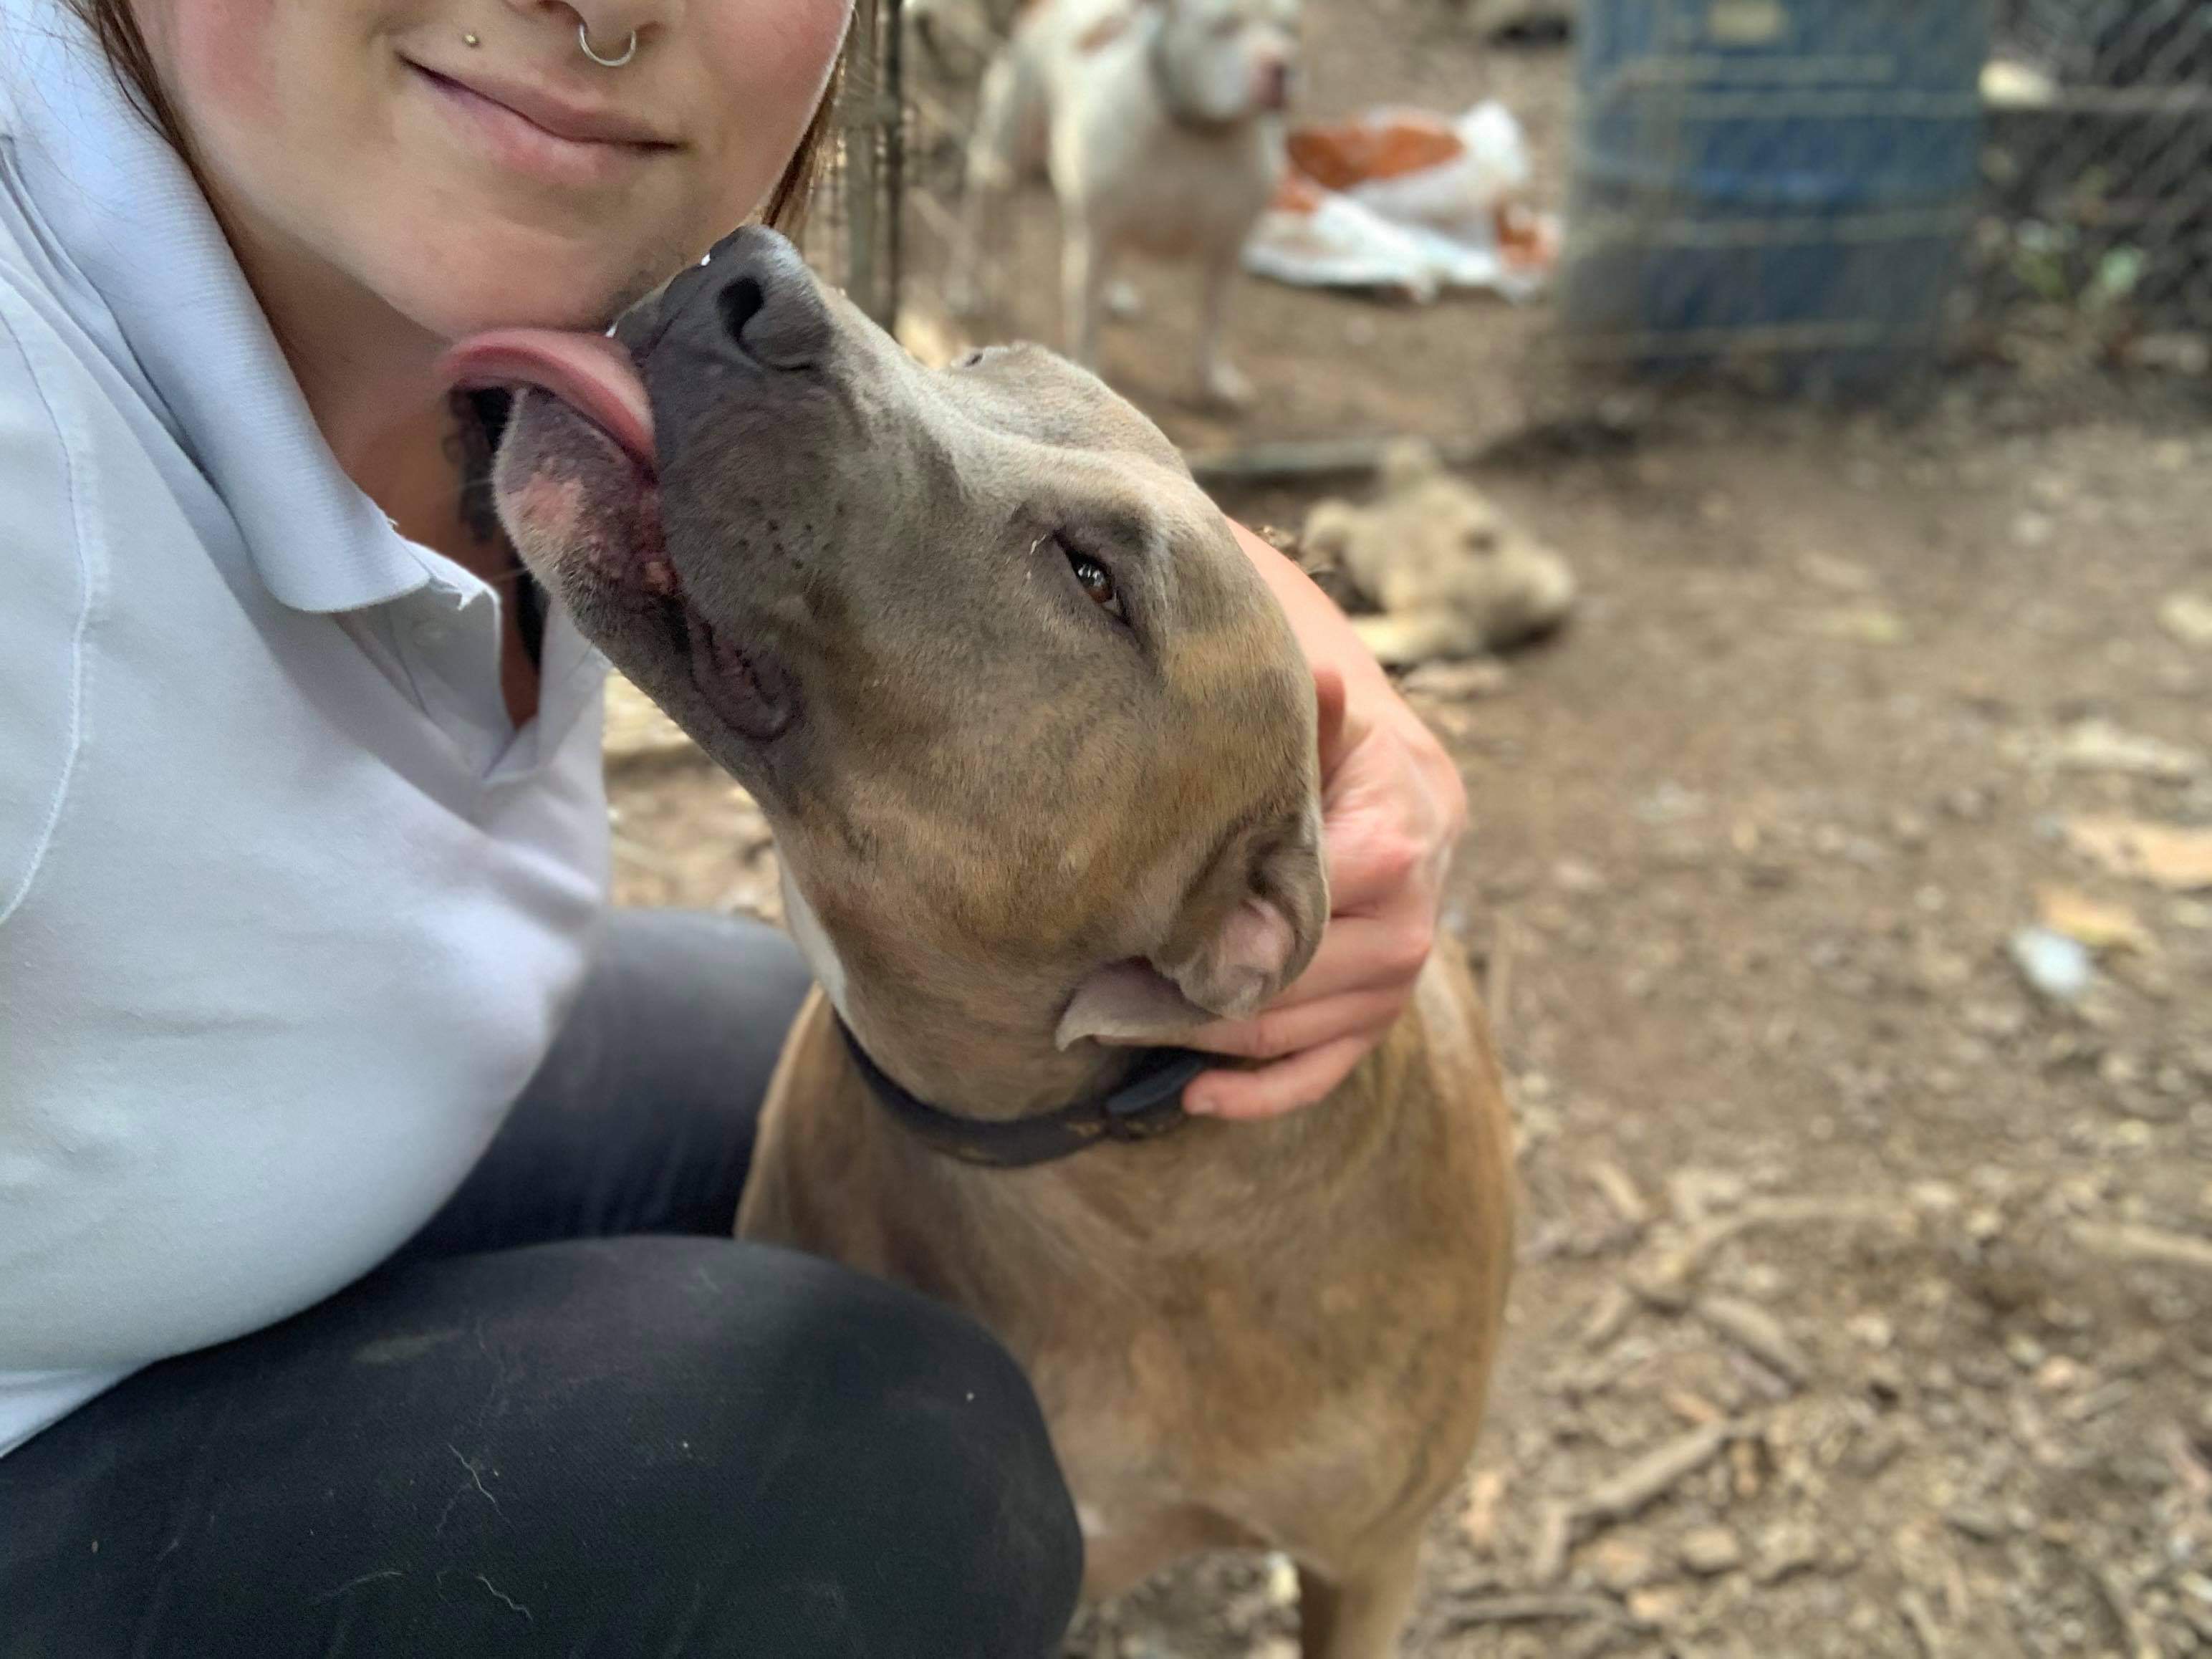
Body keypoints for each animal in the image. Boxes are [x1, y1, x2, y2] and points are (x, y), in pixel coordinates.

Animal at [951, 0, 1292, 409]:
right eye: (1224, 26)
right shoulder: (1096, 238)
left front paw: (1212, 379)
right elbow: (1085, 321)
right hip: (1002, 157)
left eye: (1290, 28)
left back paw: (1115, 295)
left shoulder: (1228, 248)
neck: (1197, 132)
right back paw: (966, 287)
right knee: (978, 213)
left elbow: (1214, 320)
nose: (1281, 67)